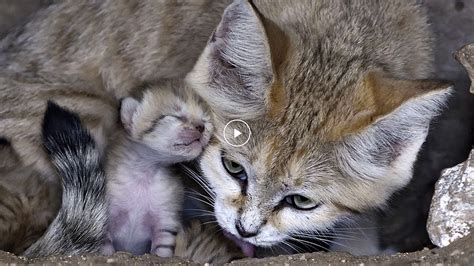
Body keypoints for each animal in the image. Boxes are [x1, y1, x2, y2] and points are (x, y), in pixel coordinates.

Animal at [103, 79, 213, 256]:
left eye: (206, 119)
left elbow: (162, 252)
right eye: (176, 116)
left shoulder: (165, 223)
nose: (201, 126)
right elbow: (104, 247)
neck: (144, 174)